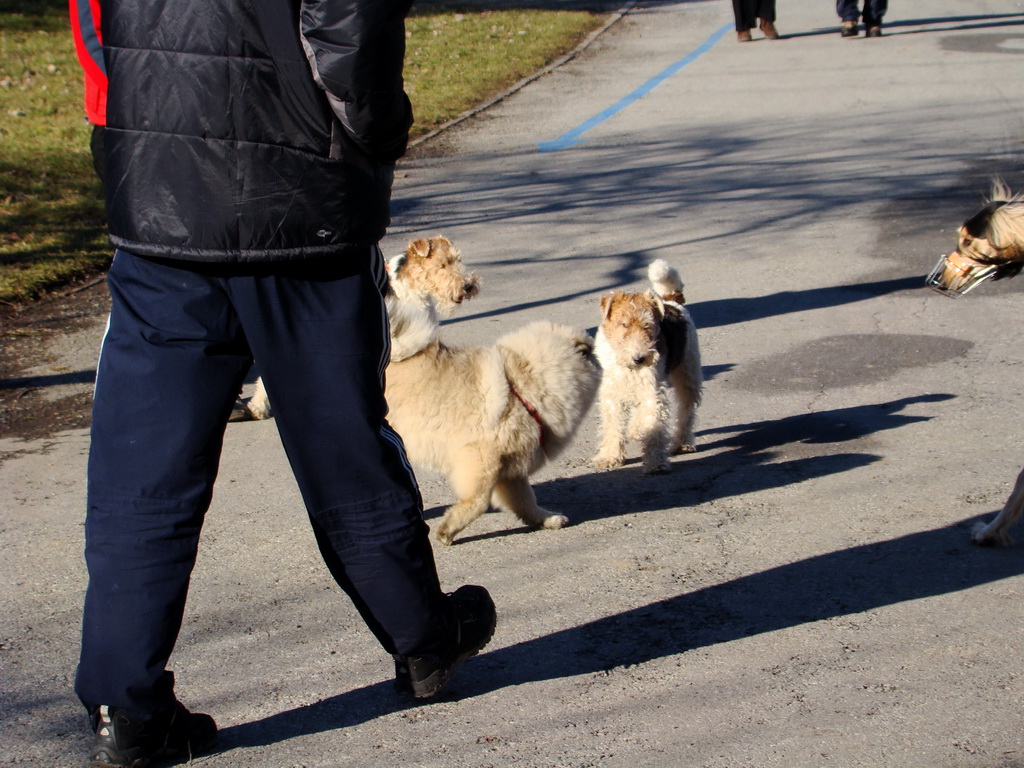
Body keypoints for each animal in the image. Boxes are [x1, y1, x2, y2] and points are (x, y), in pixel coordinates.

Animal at [385, 249, 598, 544]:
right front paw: (448, 530)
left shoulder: (512, 470)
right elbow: (478, 501)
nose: (597, 349)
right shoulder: (481, 458)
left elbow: (526, 501)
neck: (523, 387)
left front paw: (546, 519)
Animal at [598, 260, 700, 475]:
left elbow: (654, 428)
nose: (640, 358)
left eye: (648, 325)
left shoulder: (653, 391)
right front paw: (609, 457)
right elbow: (613, 426)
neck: (627, 367)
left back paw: (682, 443)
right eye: (624, 324)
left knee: (686, 410)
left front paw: (656, 463)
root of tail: (672, 301)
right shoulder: (612, 395)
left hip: (688, 372)